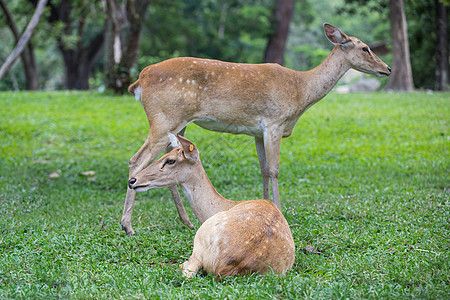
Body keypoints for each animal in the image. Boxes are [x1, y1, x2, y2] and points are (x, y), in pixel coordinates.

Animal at [120, 23, 390, 234]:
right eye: (365, 48)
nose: (387, 68)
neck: (300, 90)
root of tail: (139, 81)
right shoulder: (274, 122)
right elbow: (274, 169)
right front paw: (280, 211)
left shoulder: (257, 132)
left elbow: (262, 169)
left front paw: (265, 205)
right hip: (162, 118)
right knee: (136, 159)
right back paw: (127, 226)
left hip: (178, 124)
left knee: (168, 155)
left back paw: (185, 221)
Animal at [127, 135, 296, 280]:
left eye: (170, 160)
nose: (132, 180)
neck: (227, 204)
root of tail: (227, 267)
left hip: (200, 239)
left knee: (188, 271)